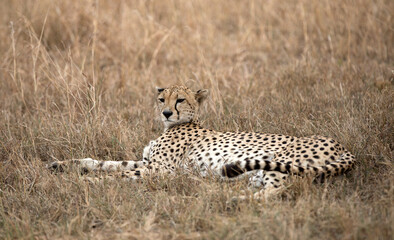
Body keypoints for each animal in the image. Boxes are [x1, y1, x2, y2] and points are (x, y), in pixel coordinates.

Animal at [47, 85, 356, 199]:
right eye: (162, 99)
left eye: (180, 100)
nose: (166, 112)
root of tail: (343, 147)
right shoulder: (147, 161)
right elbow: (104, 162)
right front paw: (62, 165)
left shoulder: (160, 170)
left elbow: (118, 174)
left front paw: (85, 182)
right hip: (258, 171)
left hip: (280, 162)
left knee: (278, 191)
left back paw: (229, 199)